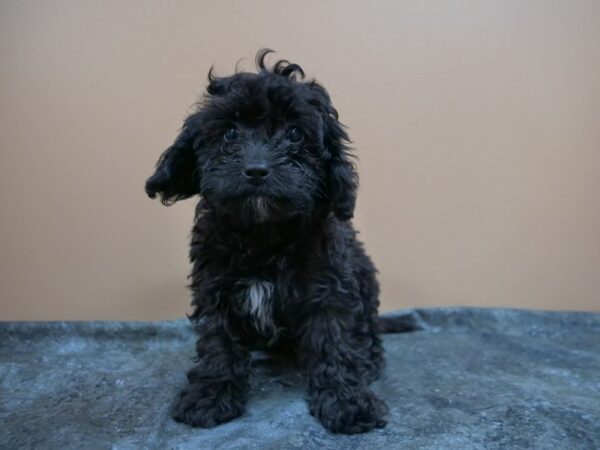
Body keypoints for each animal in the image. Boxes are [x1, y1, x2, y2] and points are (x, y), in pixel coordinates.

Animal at [146, 49, 390, 432]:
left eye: (294, 134)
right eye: (230, 132)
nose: (257, 170)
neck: (263, 231)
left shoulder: (328, 285)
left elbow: (334, 339)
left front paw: (347, 400)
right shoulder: (215, 284)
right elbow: (218, 342)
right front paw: (210, 394)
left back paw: (370, 359)